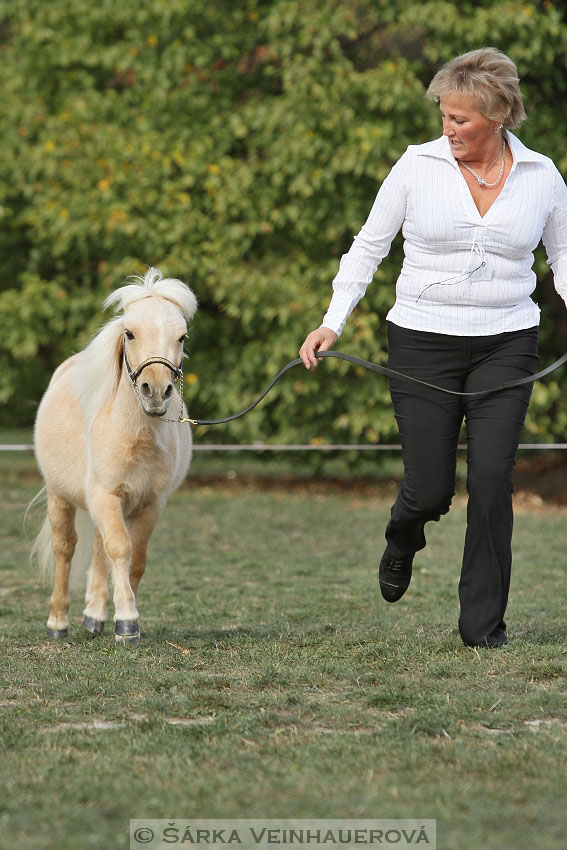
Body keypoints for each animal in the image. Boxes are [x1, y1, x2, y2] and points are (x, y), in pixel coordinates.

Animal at [33, 268, 199, 644]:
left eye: (181, 337)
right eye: (130, 333)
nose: (156, 391)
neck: (135, 435)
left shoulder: (150, 503)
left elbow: (134, 558)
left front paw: (123, 618)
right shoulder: (106, 495)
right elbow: (120, 550)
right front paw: (127, 622)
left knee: (98, 548)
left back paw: (93, 617)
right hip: (60, 494)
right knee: (65, 548)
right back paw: (58, 623)